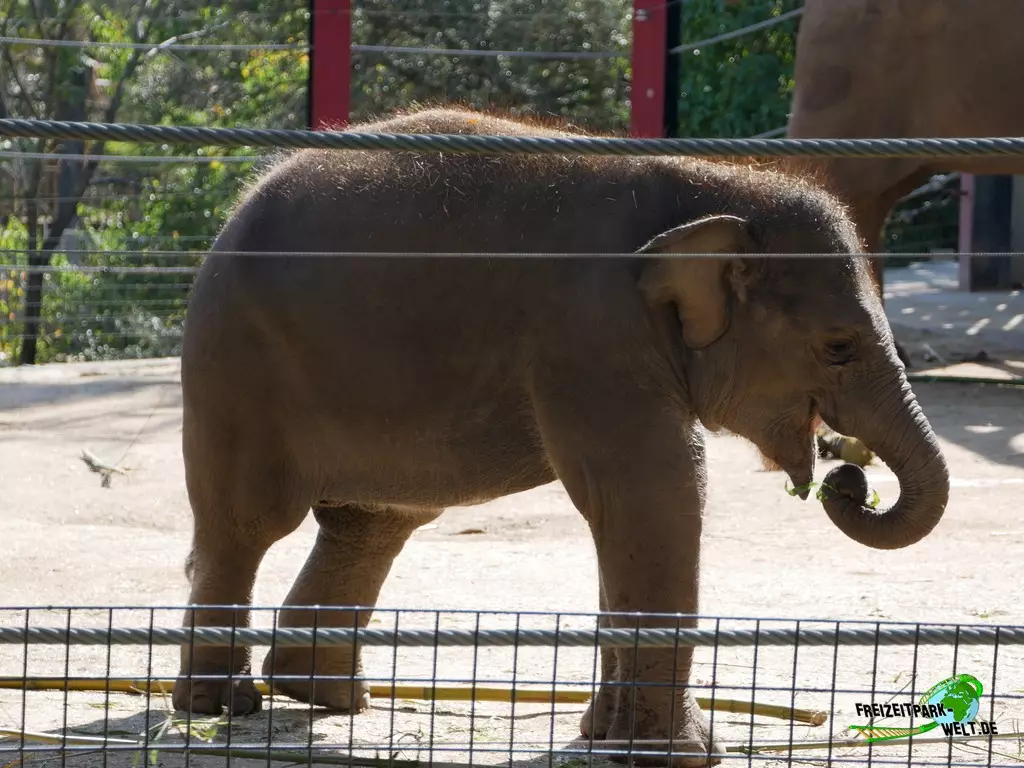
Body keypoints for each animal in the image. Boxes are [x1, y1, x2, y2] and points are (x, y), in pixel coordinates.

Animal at [170, 107, 950, 767]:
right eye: (839, 346)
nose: (847, 480)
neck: (711, 187)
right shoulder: (591, 334)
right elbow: (653, 495)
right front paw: (678, 755)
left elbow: (628, 511)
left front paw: (606, 736)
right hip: (235, 367)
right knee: (247, 523)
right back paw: (222, 707)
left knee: (374, 521)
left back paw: (325, 698)